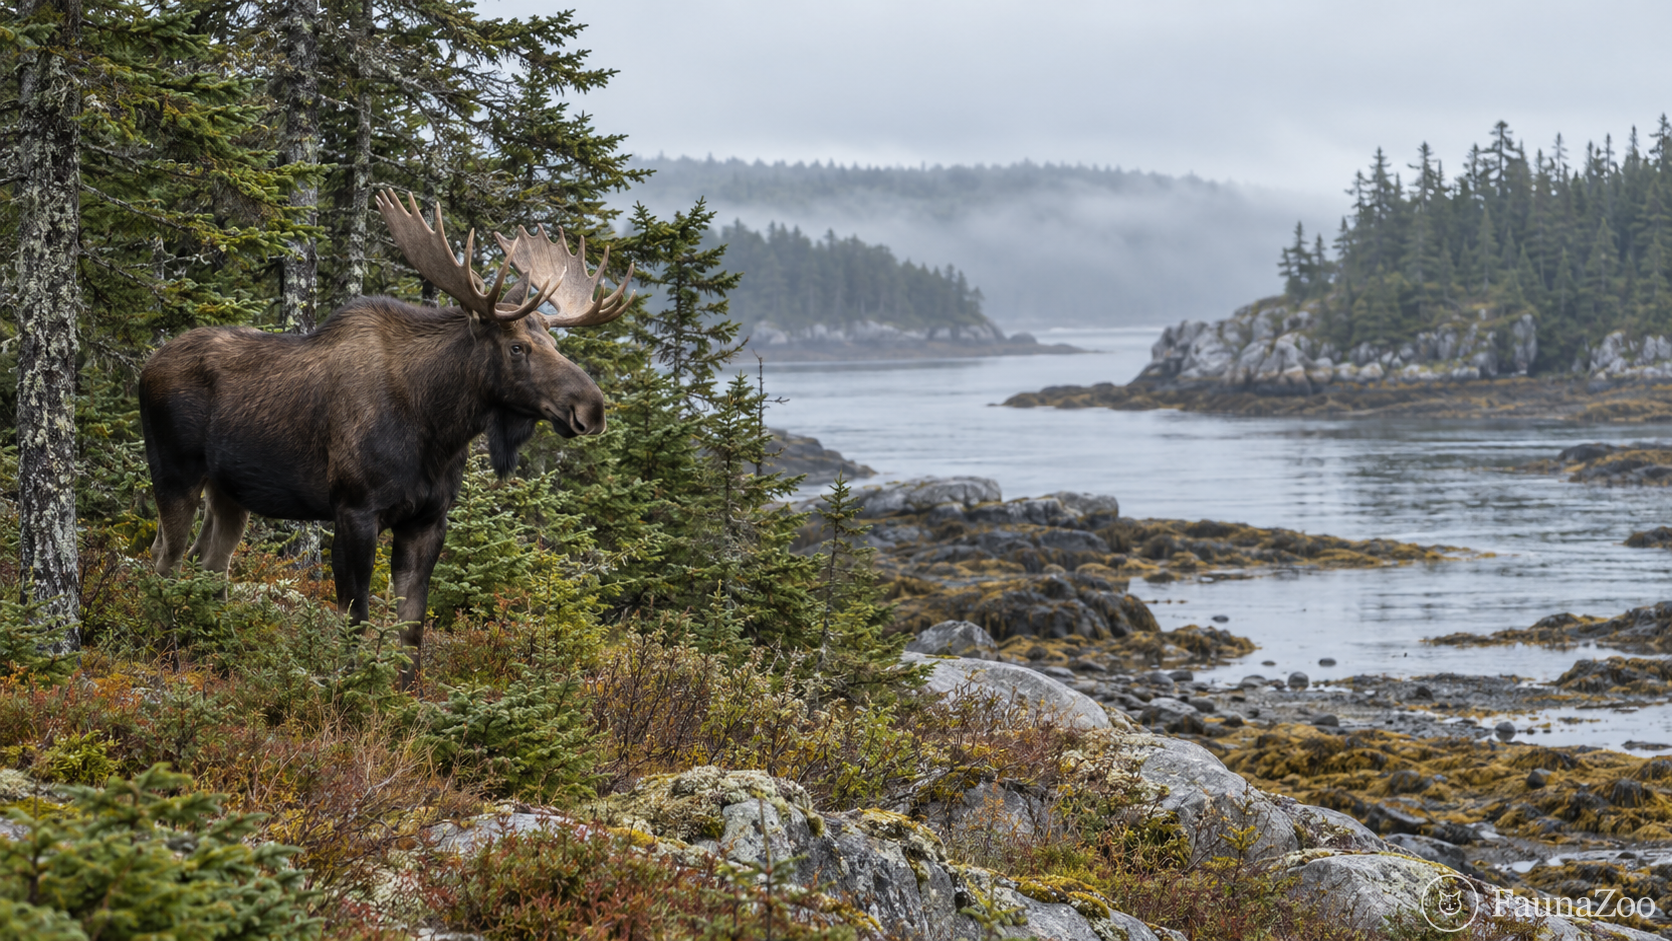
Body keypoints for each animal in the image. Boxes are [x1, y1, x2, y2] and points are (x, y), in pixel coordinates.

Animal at [138, 191, 633, 687]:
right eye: (517, 348)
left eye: (555, 343)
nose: (592, 408)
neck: (435, 429)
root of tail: (147, 366)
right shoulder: (354, 509)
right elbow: (354, 617)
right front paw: (347, 687)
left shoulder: (428, 519)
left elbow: (411, 625)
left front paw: (404, 693)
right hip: (174, 472)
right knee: (165, 559)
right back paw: (170, 653)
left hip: (230, 492)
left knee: (209, 563)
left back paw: (217, 649)